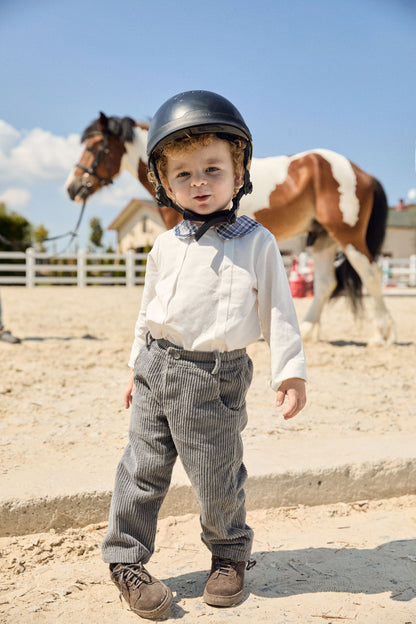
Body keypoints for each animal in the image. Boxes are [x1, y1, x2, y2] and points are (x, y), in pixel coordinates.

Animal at [66, 112, 394, 346]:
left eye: (94, 147)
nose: (72, 188)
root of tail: (361, 173)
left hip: (347, 236)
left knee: (370, 275)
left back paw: (382, 336)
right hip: (324, 241)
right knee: (326, 283)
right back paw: (309, 332)